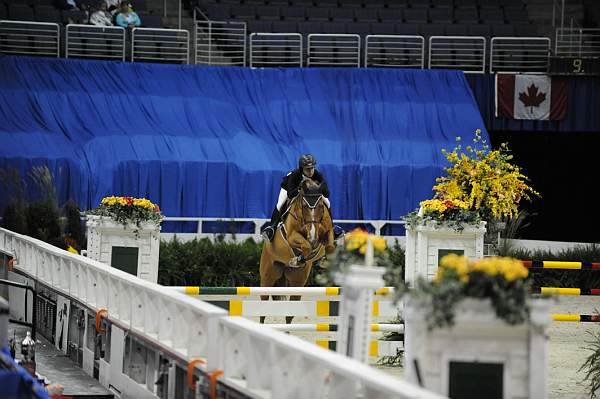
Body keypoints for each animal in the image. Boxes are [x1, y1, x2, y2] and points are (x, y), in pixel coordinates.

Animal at [258, 180, 338, 324]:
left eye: (320, 207)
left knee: (290, 313)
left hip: (297, 281)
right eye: (304, 206)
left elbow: (329, 247)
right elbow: (306, 246)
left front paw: (324, 261)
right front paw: (297, 259)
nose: (313, 235)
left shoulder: (327, 231)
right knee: (263, 306)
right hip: (268, 276)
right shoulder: (291, 236)